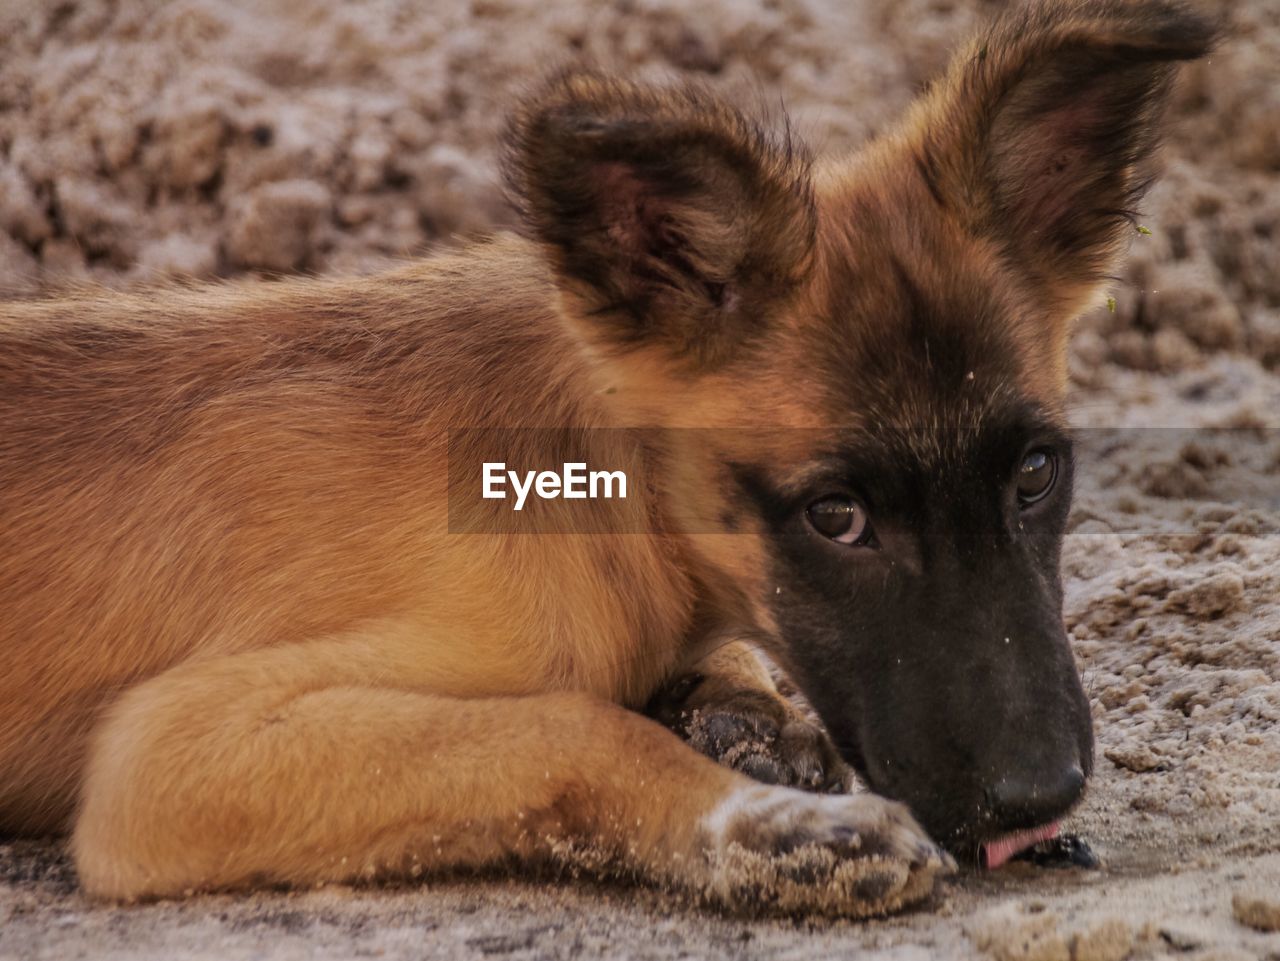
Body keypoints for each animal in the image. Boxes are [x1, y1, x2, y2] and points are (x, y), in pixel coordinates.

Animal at [0, 0, 1213, 916]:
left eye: (1034, 474)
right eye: (836, 515)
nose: (1037, 799)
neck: (599, 507)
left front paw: (748, 725)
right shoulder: (166, 753)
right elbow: (566, 722)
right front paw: (764, 824)